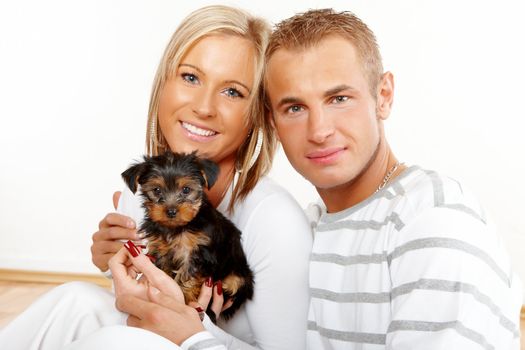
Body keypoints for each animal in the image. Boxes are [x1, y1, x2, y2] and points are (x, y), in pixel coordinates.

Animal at [123, 149, 254, 322]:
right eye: (157, 190)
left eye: (186, 190)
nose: (171, 211)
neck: (176, 228)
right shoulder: (161, 249)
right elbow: (164, 268)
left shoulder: (198, 253)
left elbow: (188, 275)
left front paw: (184, 297)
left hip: (237, 277)